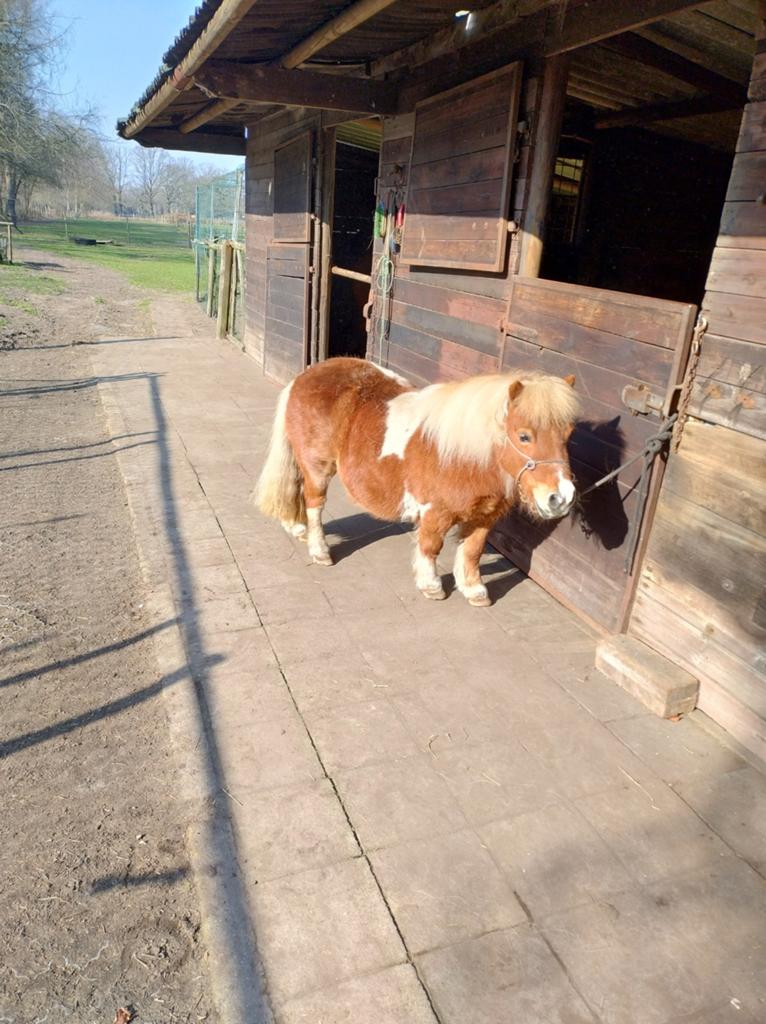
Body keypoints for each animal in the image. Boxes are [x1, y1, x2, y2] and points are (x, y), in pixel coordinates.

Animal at [254, 357, 579, 606]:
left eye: (568, 435)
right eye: (524, 436)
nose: (560, 497)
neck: (465, 454)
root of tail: (305, 375)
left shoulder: (486, 515)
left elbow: (472, 550)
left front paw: (474, 590)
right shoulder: (436, 512)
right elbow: (431, 546)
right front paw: (431, 586)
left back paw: (296, 528)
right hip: (318, 468)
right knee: (314, 503)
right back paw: (319, 550)